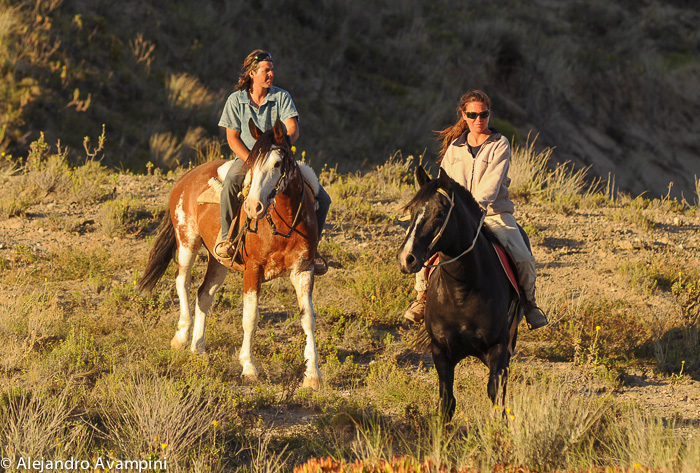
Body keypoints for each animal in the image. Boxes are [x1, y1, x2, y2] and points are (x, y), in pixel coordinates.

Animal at [137, 120, 322, 390]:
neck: (284, 223)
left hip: (219, 261)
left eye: (278, 163)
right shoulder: (253, 270)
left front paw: (312, 375)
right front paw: (249, 367)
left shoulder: (303, 269)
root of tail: (185, 178)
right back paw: (181, 336)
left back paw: (198, 348)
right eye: (251, 163)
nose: (253, 207)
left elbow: (308, 318)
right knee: (182, 282)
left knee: (204, 294)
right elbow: (250, 318)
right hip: (187, 242)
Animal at [400, 165, 520, 416]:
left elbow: (496, 397)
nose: (407, 258)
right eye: (412, 210)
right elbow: (447, 401)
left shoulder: (498, 348)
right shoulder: (441, 352)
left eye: (439, 213)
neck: (462, 293)